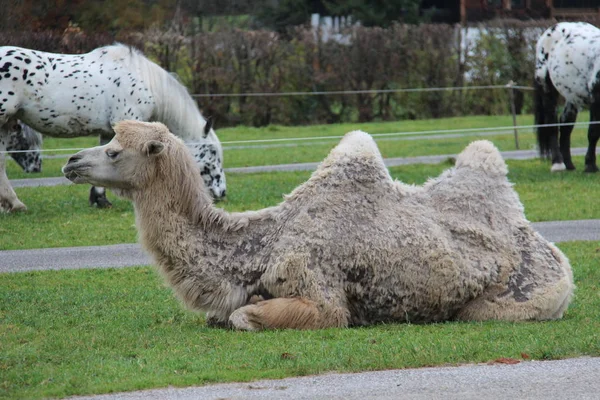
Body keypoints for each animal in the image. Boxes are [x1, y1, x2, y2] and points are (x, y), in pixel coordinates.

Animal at [63, 119, 576, 332]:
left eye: (114, 150)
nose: (70, 162)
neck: (258, 248)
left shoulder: (320, 293)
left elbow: (245, 316)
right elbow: (222, 313)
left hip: (523, 297)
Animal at [536, 21, 600, 172]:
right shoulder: (596, 98)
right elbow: (594, 132)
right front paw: (590, 166)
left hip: (572, 96)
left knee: (566, 124)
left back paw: (569, 164)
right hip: (546, 88)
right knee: (552, 123)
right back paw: (558, 163)